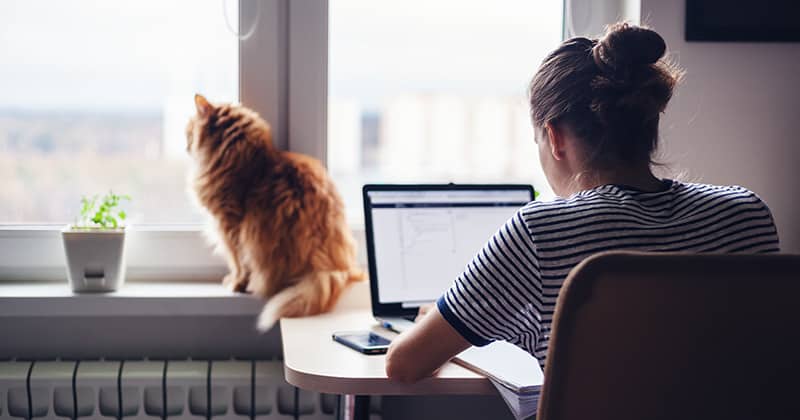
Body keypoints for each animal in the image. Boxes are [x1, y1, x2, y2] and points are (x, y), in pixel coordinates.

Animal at [186, 94, 364, 332]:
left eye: (189, 131)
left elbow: (238, 262)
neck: (247, 160)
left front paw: (236, 283)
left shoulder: (229, 225)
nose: (186, 145)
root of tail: (328, 266)